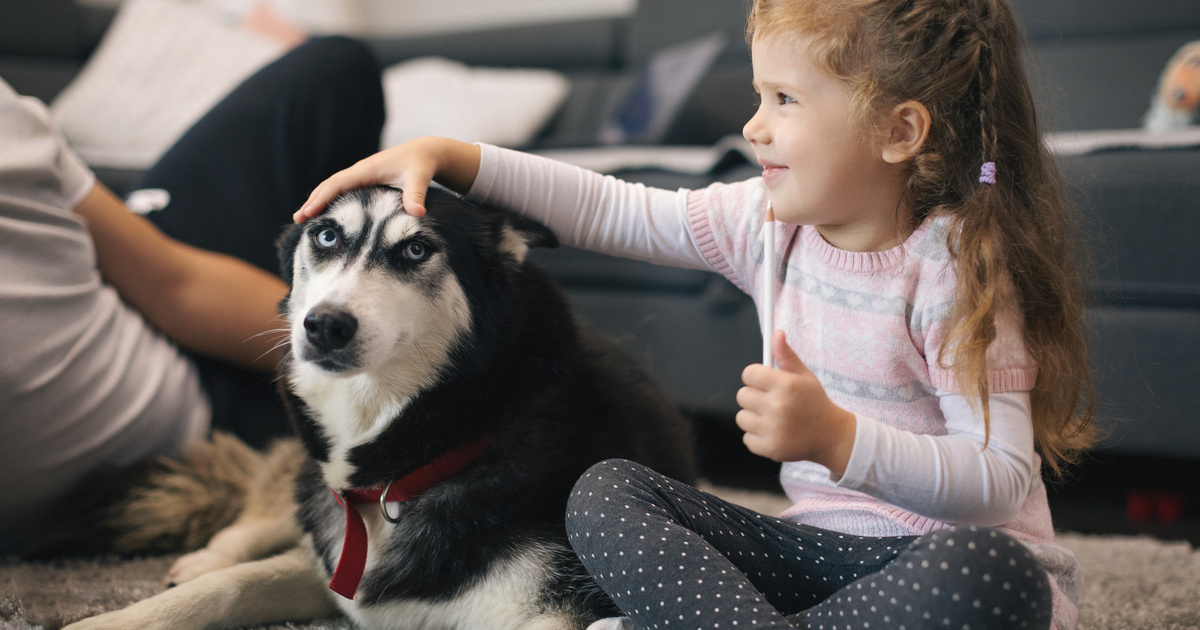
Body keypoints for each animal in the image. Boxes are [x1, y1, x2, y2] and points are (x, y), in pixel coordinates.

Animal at [65, 187, 700, 628]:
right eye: (325, 236)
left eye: (417, 249)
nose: (323, 325)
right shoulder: (335, 560)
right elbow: (231, 585)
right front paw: (112, 619)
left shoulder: (562, 605)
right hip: (306, 488)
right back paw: (206, 556)